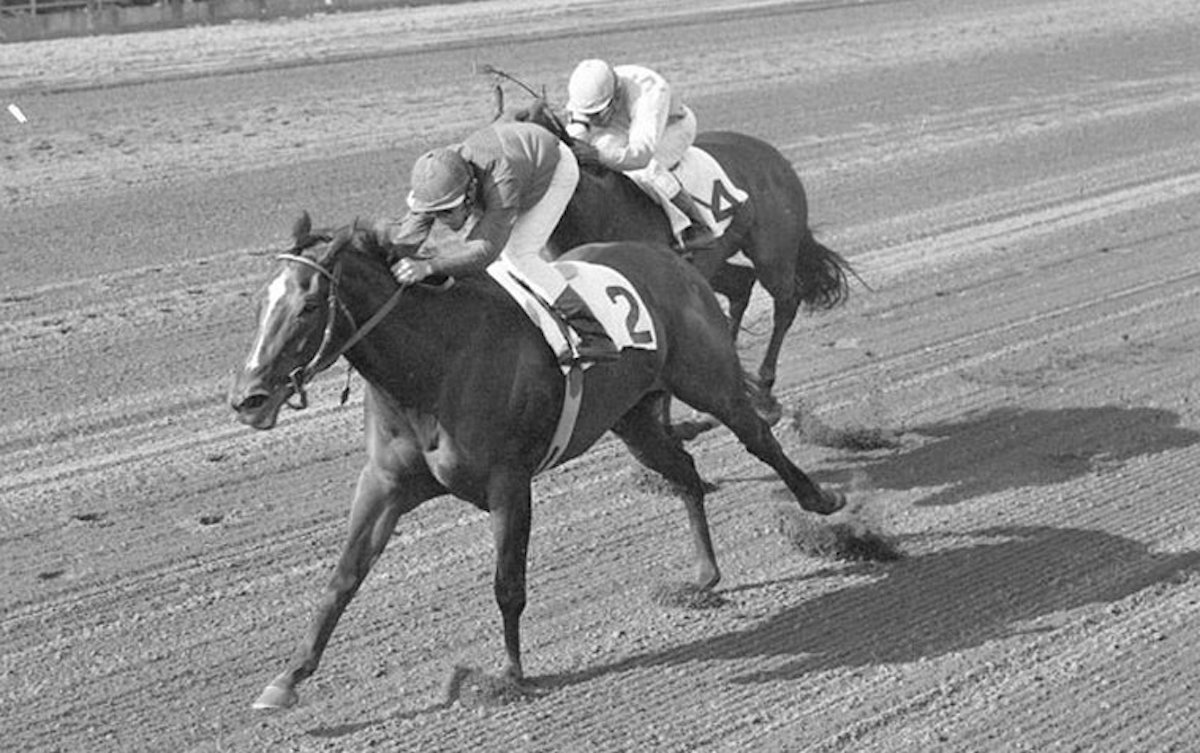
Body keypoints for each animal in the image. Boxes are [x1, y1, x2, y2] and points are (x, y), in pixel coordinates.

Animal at [225, 213, 844, 709]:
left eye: (309, 306)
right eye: (259, 304)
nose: (248, 397)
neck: (433, 365)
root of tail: (671, 258)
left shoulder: (509, 482)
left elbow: (507, 583)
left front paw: (510, 674)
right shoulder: (384, 484)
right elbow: (342, 579)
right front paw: (287, 679)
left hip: (707, 379)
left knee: (757, 435)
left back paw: (821, 500)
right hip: (634, 421)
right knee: (686, 472)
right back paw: (704, 575)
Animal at [513, 100, 854, 426]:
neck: (599, 209)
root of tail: (776, 158)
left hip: (773, 253)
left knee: (786, 303)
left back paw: (764, 394)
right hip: (711, 264)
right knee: (742, 285)